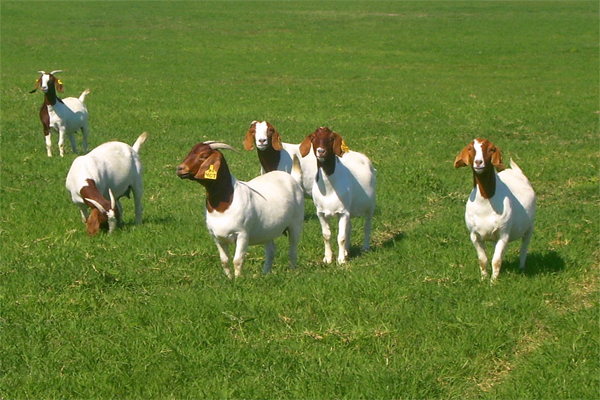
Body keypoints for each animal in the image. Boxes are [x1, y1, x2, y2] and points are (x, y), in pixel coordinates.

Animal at [176, 141, 302, 278]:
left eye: (203, 155)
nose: (180, 168)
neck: (223, 205)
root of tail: (293, 179)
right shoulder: (216, 237)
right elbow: (224, 260)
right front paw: (229, 278)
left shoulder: (242, 234)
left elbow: (237, 260)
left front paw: (238, 279)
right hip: (267, 231)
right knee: (271, 250)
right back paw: (265, 274)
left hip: (296, 223)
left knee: (293, 249)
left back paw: (291, 271)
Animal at [298, 126, 378, 264]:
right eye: (313, 138)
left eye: (331, 139)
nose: (321, 151)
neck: (329, 189)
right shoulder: (321, 212)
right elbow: (326, 235)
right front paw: (328, 258)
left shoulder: (343, 212)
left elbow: (341, 237)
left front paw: (341, 260)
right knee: (349, 228)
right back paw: (347, 251)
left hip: (370, 206)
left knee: (367, 226)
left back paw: (365, 248)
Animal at [454, 138, 540, 282]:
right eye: (470, 148)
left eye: (491, 149)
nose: (478, 162)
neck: (485, 202)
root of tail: (515, 172)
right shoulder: (474, 235)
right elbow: (483, 260)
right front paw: (484, 279)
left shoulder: (503, 234)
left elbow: (496, 261)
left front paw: (493, 282)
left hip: (529, 227)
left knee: (524, 247)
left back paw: (521, 267)